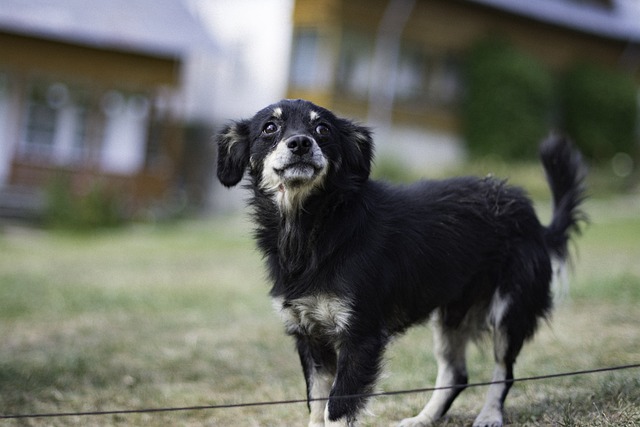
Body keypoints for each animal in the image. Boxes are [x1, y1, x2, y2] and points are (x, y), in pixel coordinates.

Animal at [216, 98, 584, 426]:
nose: (300, 143)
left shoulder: (360, 335)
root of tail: (535, 221)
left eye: (322, 129)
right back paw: (423, 419)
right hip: (452, 315)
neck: (316, 226)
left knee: (503, 372)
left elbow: (336, 409)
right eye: (270, 127)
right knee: (457, 374)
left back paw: (489, 416)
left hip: (510, 310)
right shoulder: (310, 335)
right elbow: (316, 408)